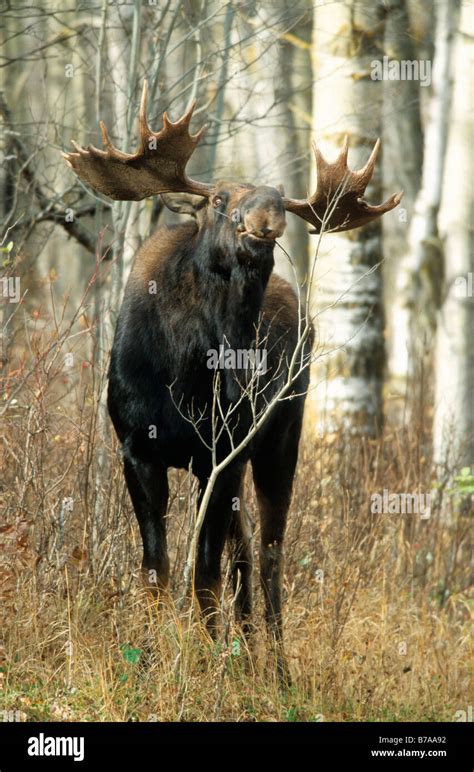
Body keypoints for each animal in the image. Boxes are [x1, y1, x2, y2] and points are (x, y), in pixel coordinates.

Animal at [63, 81, 400, 680]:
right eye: (219, 198)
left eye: (281, 195)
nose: (268, 215)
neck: (186, 372)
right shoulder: (137, 448)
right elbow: (157, 568)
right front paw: (155, 655)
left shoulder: (220, 454)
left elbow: (205, 574)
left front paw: (204, 660)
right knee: (244, 551)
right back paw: (245, 649)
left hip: (279, 442)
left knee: (268, 555)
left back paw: (278, 667)